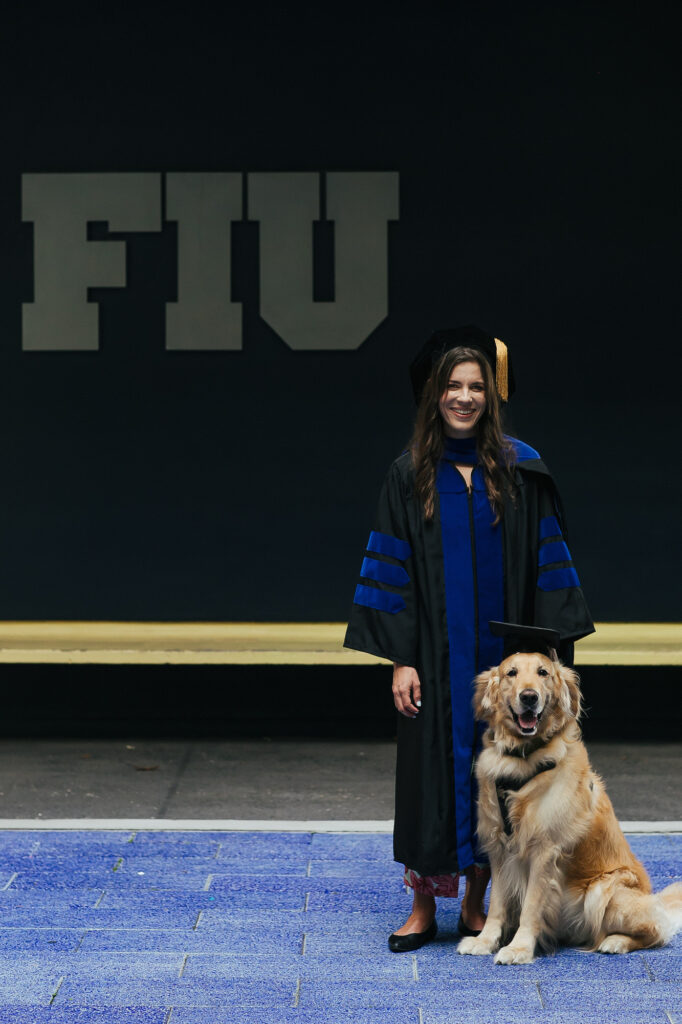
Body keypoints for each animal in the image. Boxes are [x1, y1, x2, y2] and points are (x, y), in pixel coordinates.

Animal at [456, 651, 679, 962]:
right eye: (511, 673)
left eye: (543, 672)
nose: (529, 697)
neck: (523, 759)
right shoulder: (499, 848)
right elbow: (498, 904)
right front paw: (485, 941)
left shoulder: (544, 850)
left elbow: (530, 908)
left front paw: (519, 948)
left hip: (603, 889)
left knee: (656, 931)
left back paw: (616, 941)